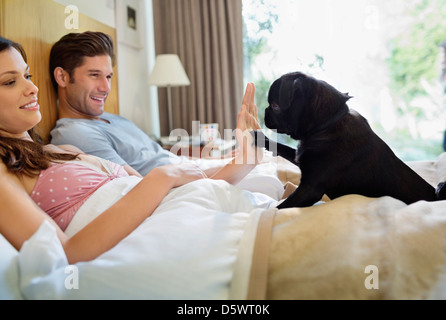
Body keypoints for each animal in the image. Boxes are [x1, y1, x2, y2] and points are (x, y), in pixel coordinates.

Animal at [253, 71, 444, 209]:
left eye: (275, 106)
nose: (265, 112)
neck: (327, 124)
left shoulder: (309, 190)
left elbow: (280, 208)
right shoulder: (301, 159)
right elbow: (281, 147)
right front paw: (258, 137)